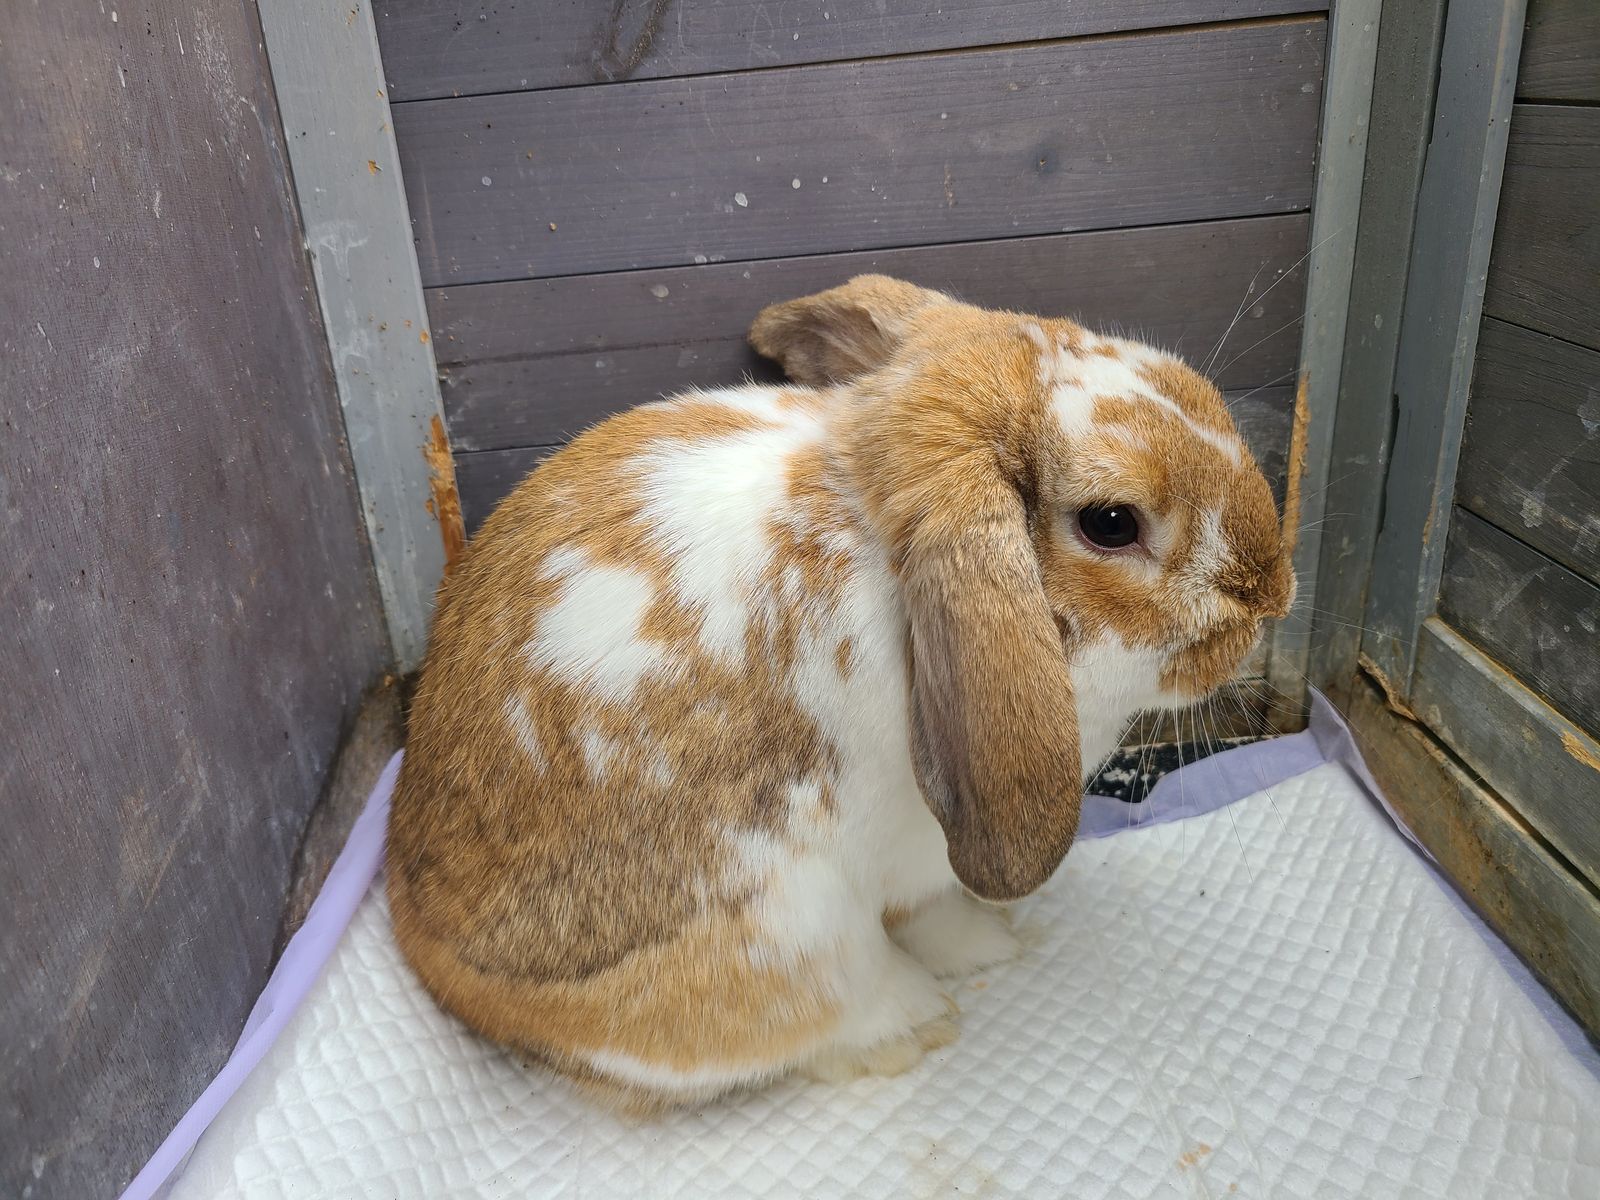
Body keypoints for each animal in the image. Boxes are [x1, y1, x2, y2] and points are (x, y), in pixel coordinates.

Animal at [387, 275, 1295, 1113]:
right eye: (1112, 523)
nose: (1273, 594)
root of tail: (432, 954)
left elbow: (935, 915)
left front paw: (989, 945)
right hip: (790, 933)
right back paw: (911, 1024)